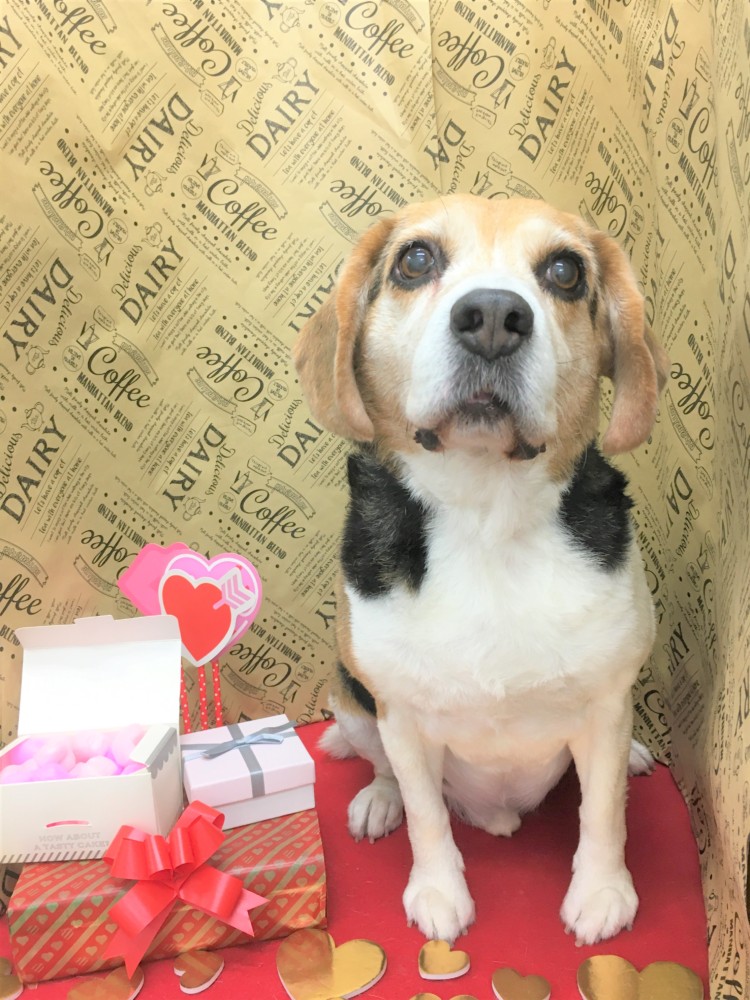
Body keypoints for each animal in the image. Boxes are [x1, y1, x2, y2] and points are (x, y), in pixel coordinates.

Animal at [293, 194, 669, 945]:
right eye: (414, 259)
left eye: (565, 270)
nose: (494, 317)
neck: (487, 517)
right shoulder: (400, 716)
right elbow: (427, 816)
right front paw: (439, 893)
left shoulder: (607, 704)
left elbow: (602, 811)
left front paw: (602, 892)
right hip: (351, 699)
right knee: (382, 767)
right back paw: (378, 801)